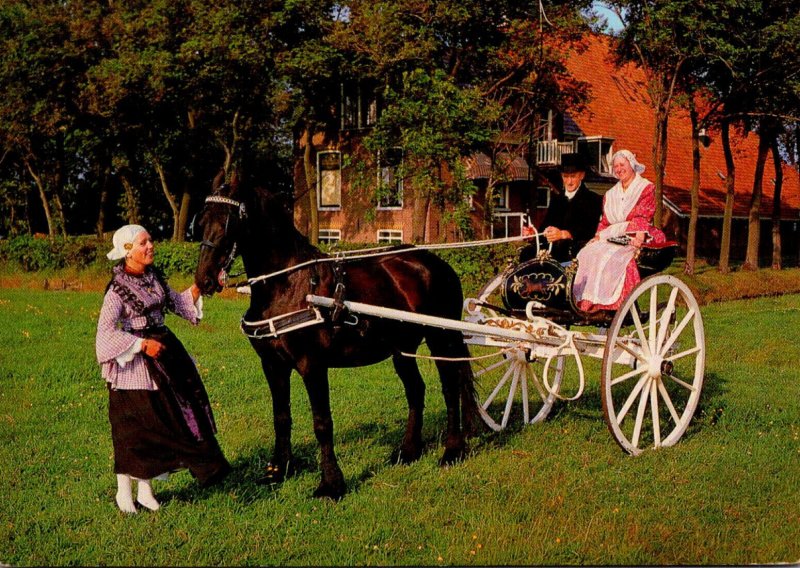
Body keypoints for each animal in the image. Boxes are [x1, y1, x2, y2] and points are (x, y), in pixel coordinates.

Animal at [194, 176, 482, 496]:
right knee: (416, 390)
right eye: (201, 221)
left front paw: (331, 484)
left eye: (229, 221)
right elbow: (281, 417)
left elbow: (322, 423)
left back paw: (452, 451)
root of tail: (434, 262)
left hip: (441, 339)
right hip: (402, 348)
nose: (204, 279)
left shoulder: (312, 365)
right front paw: (278, 471)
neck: (289, 285)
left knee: (450, 387)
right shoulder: (272, 365)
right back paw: (408, 451)